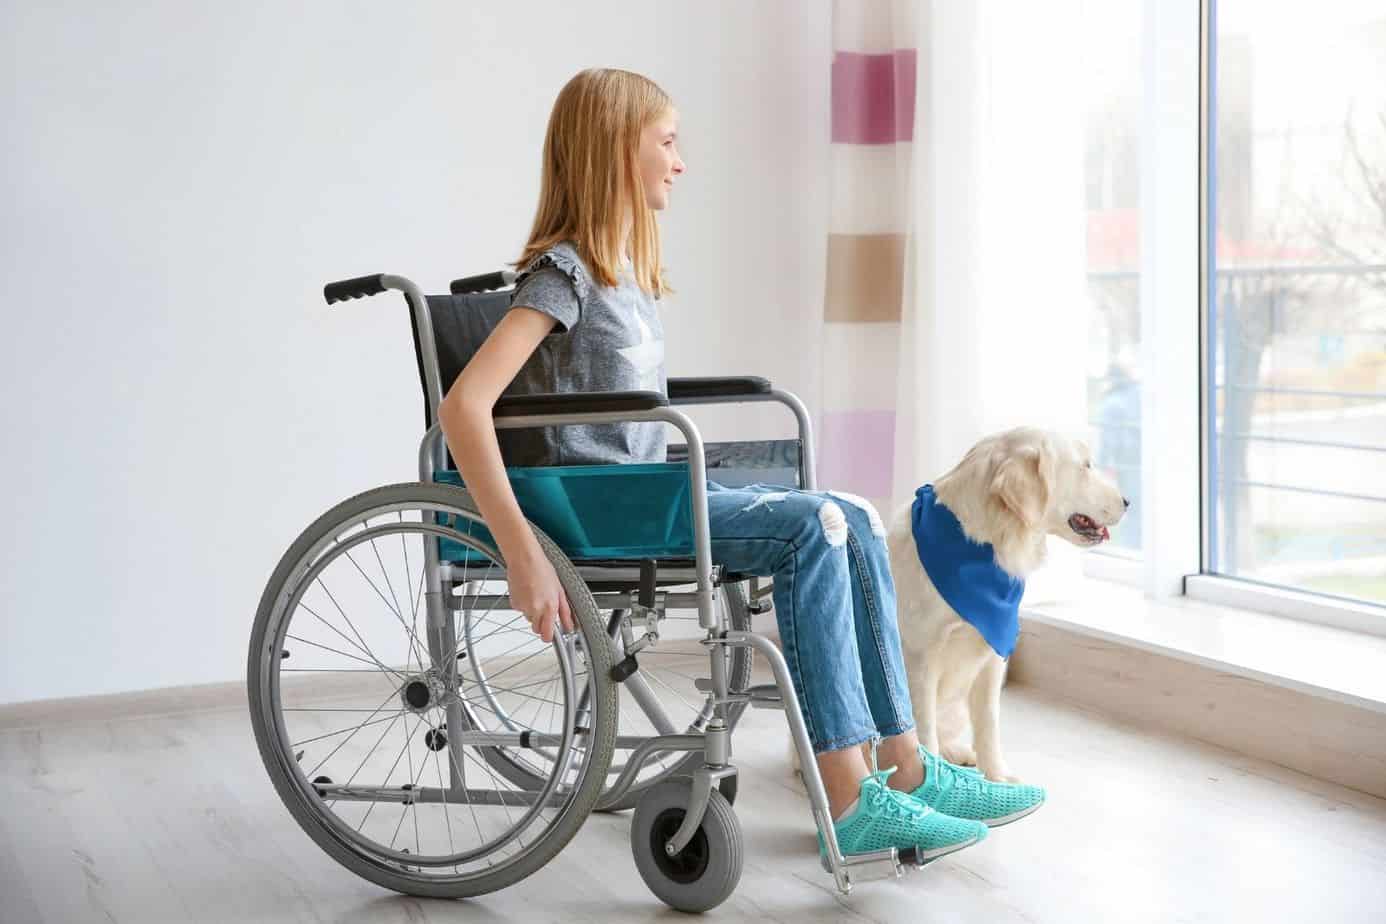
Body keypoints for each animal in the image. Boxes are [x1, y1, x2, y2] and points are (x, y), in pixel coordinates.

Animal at [887, 426, 1125, 781]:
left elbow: (988, 725)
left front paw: (997, 776)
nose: (1128, 502)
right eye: (1086, 466)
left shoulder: (991, 655)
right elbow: (924, 732)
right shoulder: (920, 659)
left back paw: (959, 753)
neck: (982, 543)